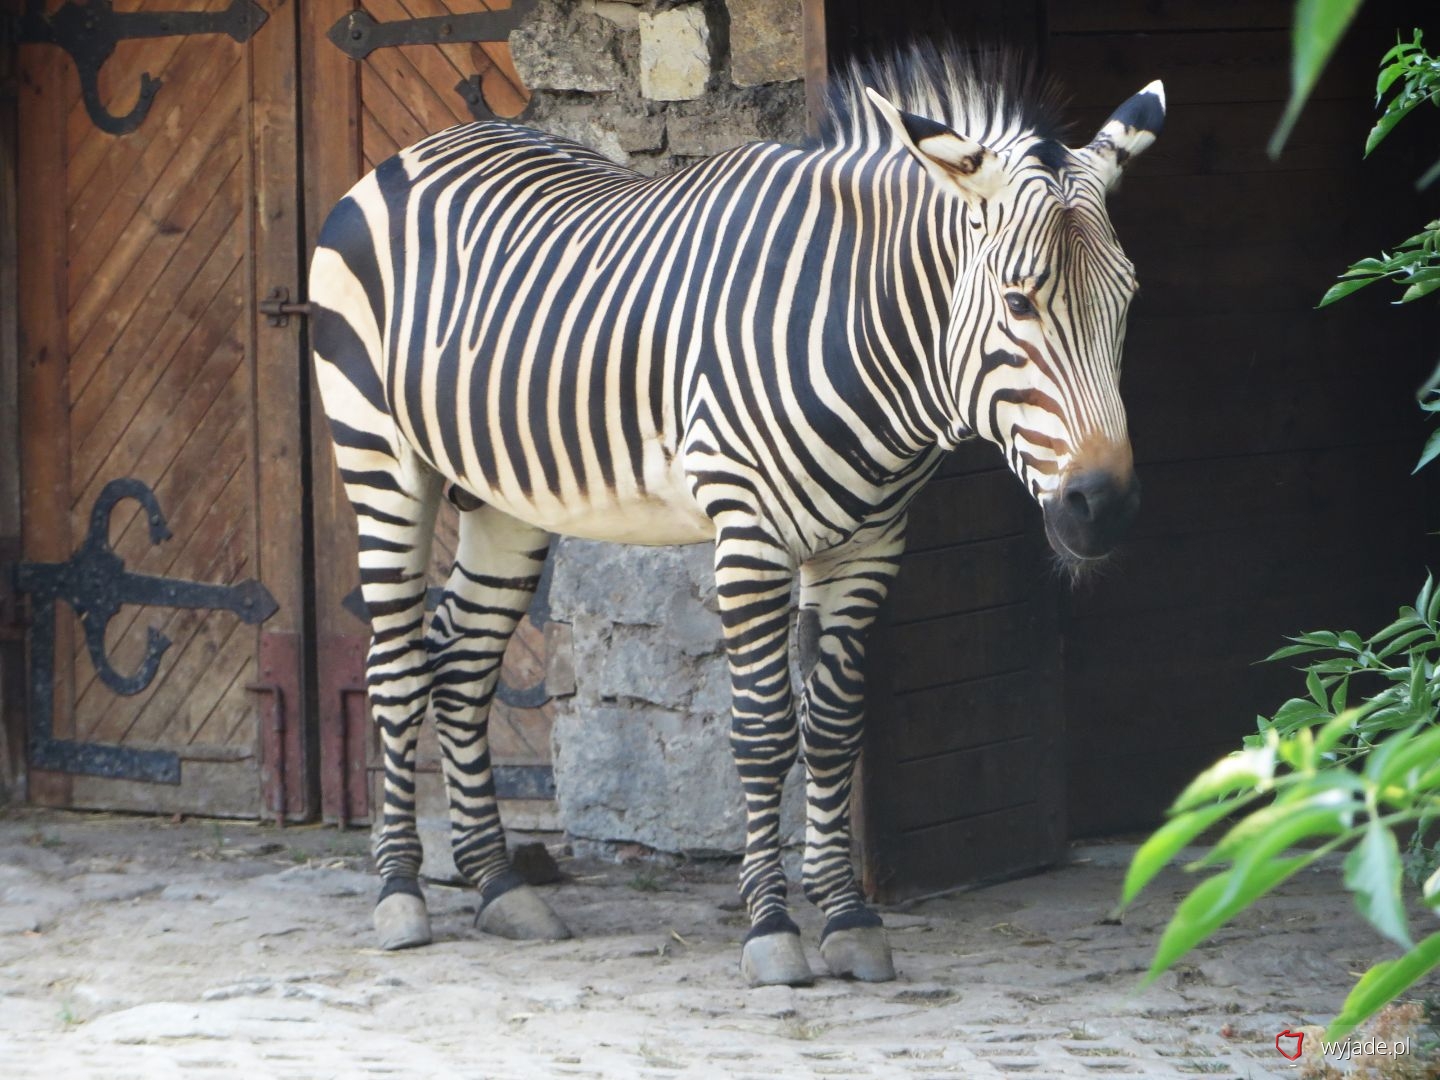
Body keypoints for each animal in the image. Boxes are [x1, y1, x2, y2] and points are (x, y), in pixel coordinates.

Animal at [309, 44, 1163, 990]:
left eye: (1128, 300)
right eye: (1019, 303)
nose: (1102, 509)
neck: (862, 336)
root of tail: (413, 154)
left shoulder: (868, 546)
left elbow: (831, 731)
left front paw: (850, 919)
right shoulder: (749, 536)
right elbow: (762, 733)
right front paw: (773, 931)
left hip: (503, 497)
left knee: (461, 665)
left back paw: (500, 886)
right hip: (382, 460)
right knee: (397, 667)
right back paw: (400, 894)